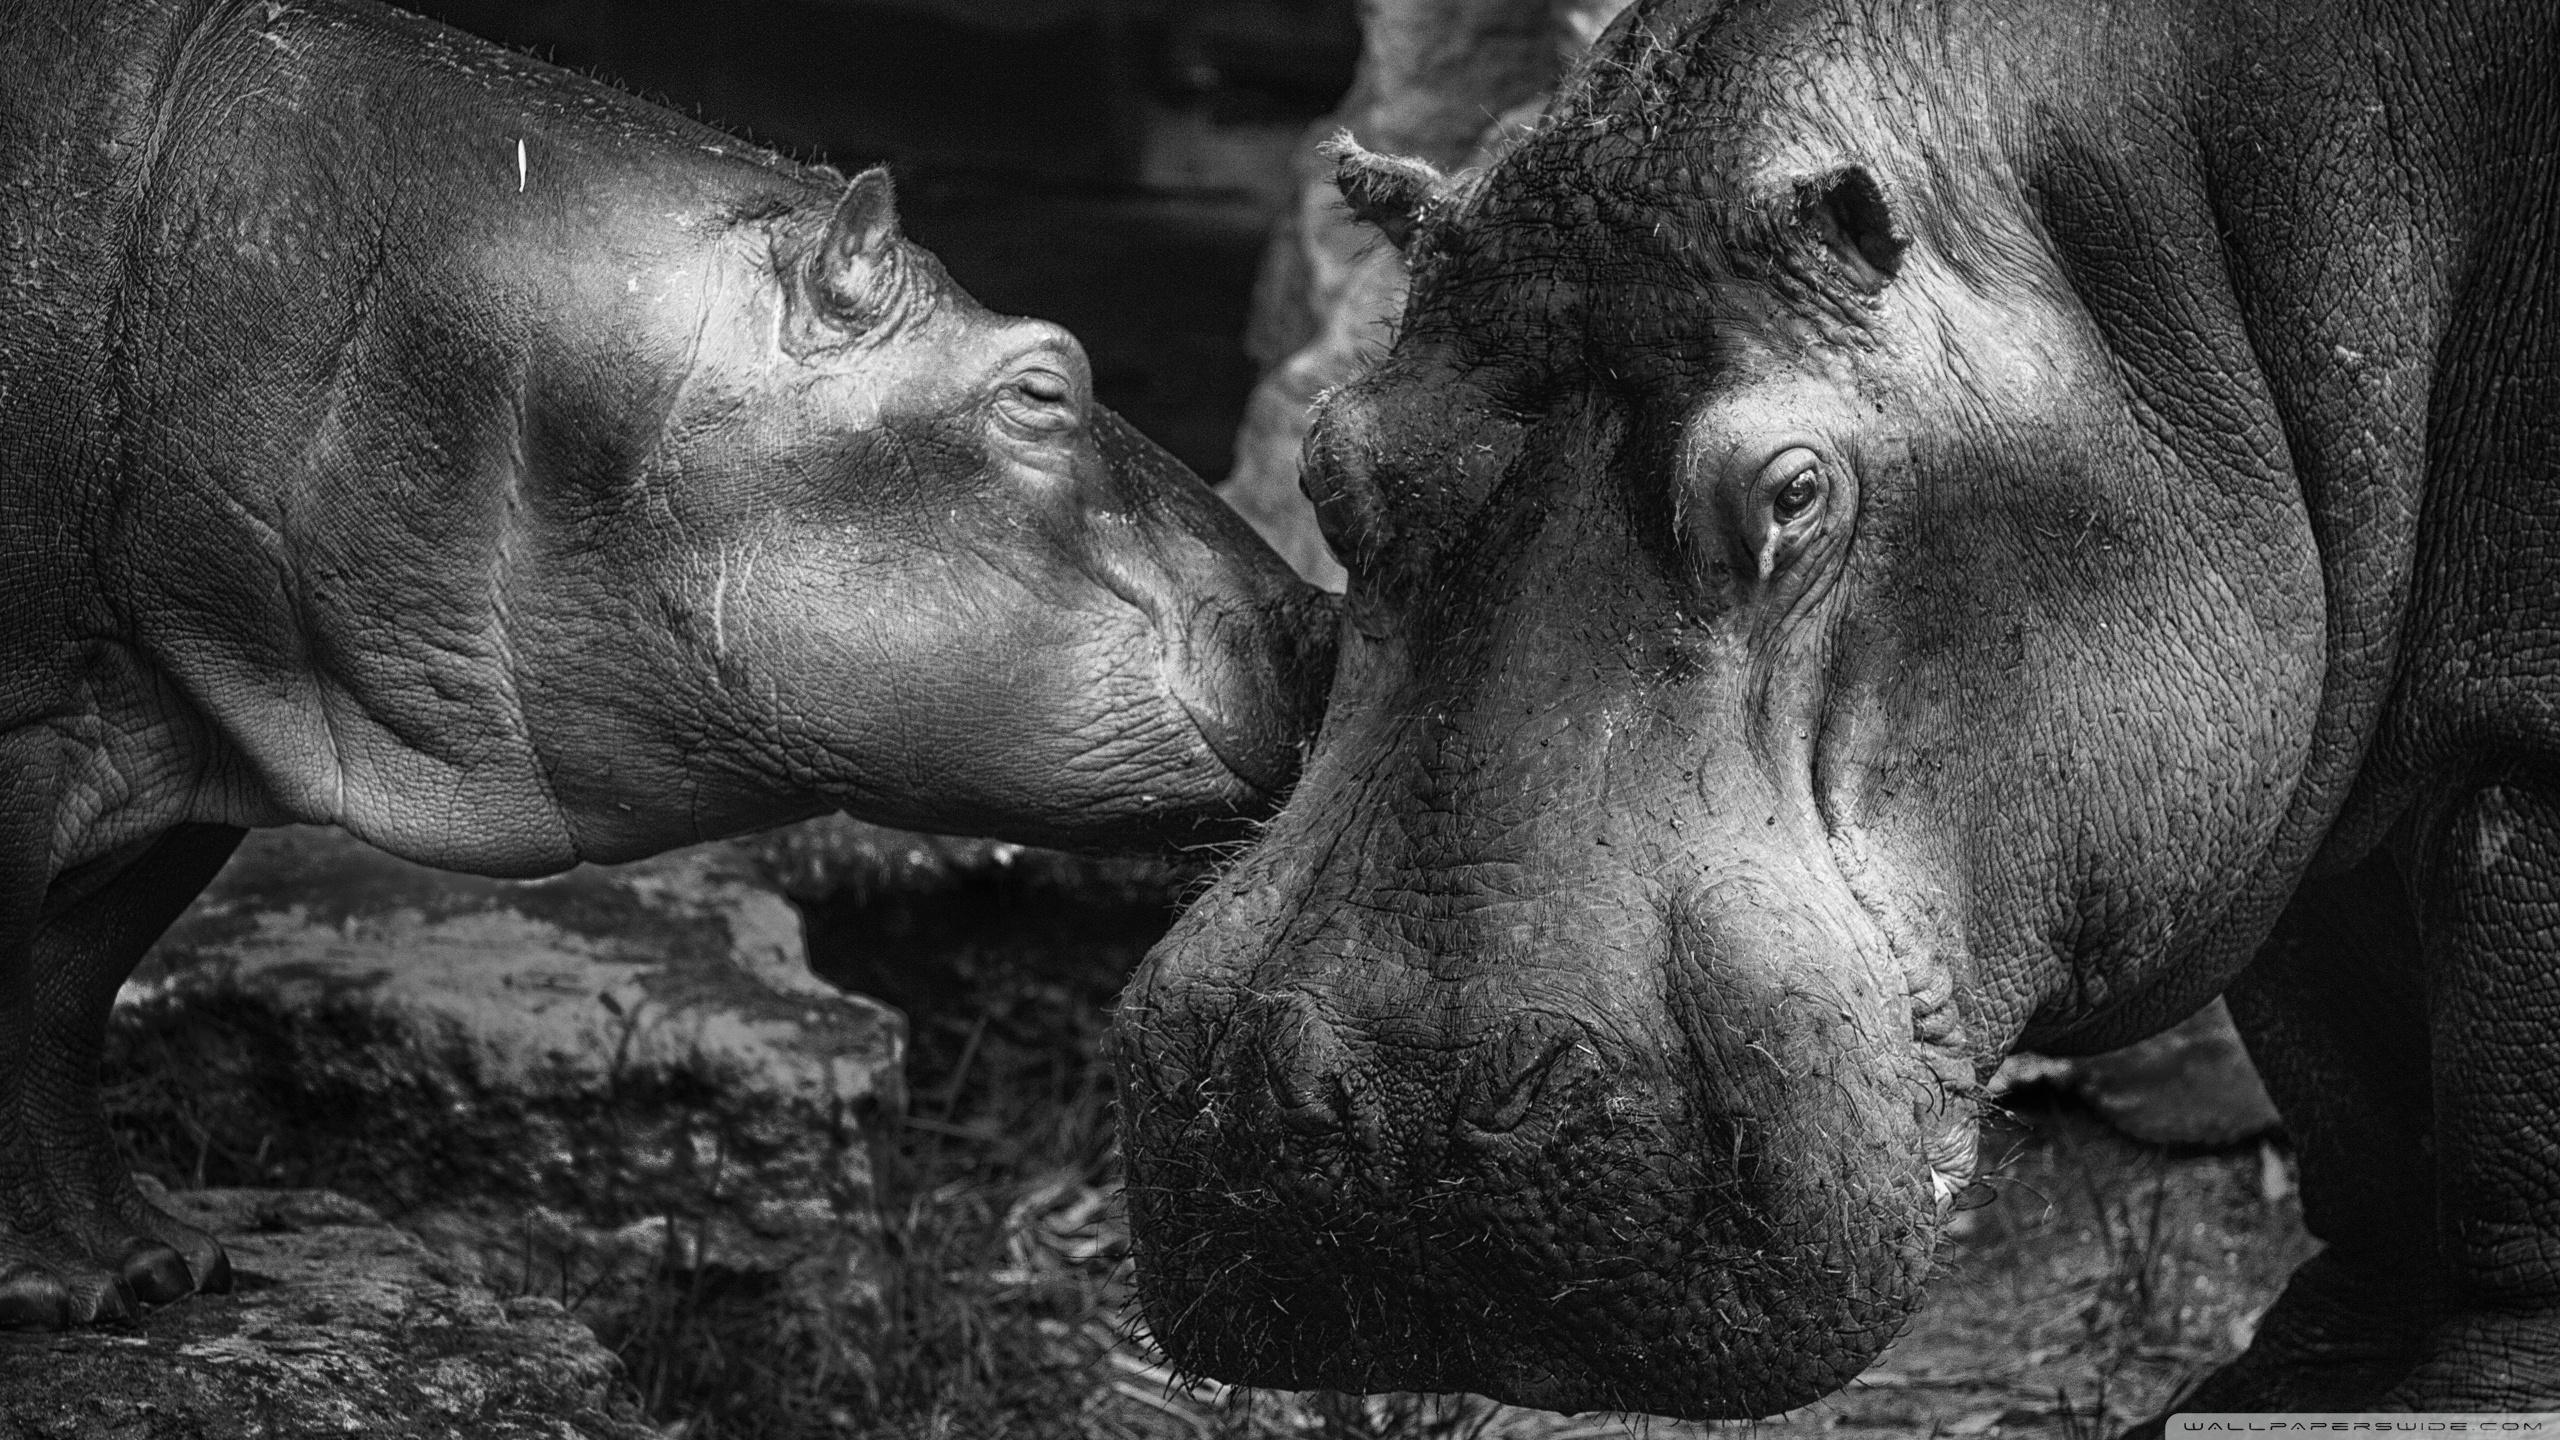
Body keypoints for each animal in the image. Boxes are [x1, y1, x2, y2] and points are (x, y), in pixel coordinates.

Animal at [0, 0, 1334, 1329]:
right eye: (1045, 387)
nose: (1318, 611)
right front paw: (71, 1288)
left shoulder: (196, 719)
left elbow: (64, 993)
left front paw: (162, 1265)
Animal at [1113, 0, 2556, 1419]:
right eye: (1327, 460)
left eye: (1795, 491)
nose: (1387, 1110)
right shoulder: (2295, 807)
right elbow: (2355, 1101)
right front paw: (2290, 1383)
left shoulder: (2517, 755)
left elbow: (2503, 1122)